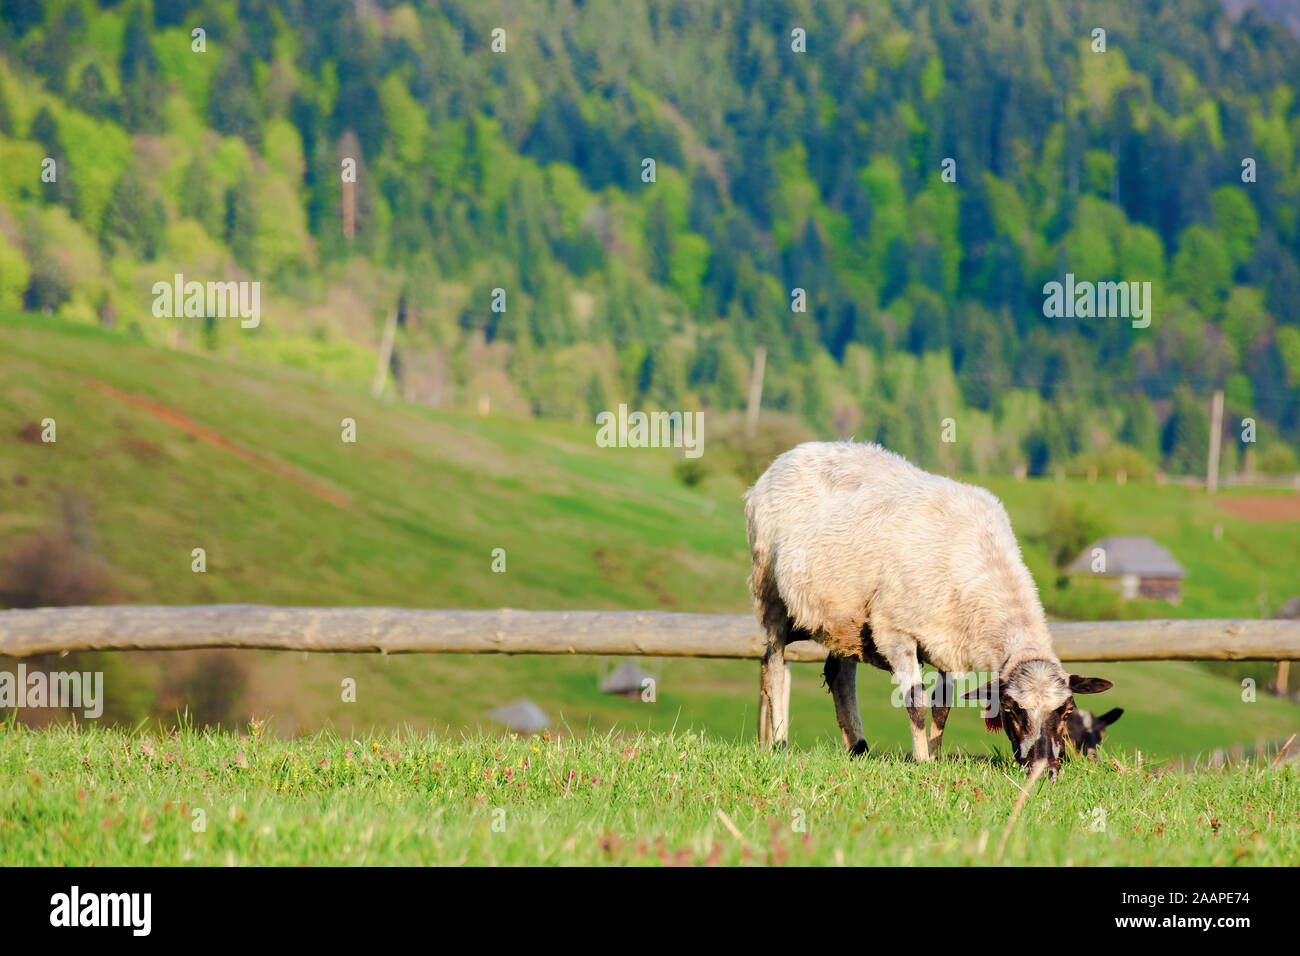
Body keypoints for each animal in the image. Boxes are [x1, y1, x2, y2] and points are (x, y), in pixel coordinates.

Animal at [745, 441, 1113, 777]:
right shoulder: (896, 632)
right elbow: (917, 703)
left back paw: (859, 748)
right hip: (770, 589)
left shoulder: (950, 645)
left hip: (845, 619)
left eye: (1066, 711)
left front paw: (936, 758)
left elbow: (942, 708)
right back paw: (780, 743)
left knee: (840, 676)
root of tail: (792, 452)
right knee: (774, 665)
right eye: (1011, 710)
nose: (1043, 770)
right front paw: (921, 761)